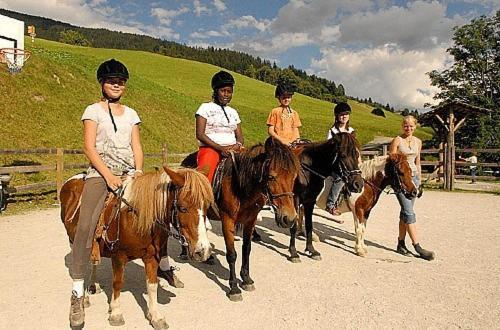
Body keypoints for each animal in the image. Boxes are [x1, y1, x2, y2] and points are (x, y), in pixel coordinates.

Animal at [59, 166, 214, 328]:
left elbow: (152, 284)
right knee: (82, 263)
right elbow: (117, 283)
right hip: (75, 239)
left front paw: (155, 316)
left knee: (94, 260)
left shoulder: (151, 257)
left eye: (206, 206)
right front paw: (116, 313)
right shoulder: (118, 256)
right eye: (182, 208)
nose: (203, 251)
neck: (135, 218)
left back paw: (94, 286)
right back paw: (83, 300)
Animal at [182, 137, 298, 302]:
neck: (240, 185)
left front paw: (246, 279)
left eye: (294, 176)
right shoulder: (227, 220)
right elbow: (232, 254)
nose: (289, 218)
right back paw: (184, 252)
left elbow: (246, 250)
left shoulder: (250, 220)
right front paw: (234, 287)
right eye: (271, 177)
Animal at [290, 133, 364, 262]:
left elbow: (309, 225)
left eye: (357, 154)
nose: (358, 184)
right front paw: (293, 253)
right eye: (343, 155)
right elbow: (294, 225)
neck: (307, 169)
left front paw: (311, 250)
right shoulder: (295, 198)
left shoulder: (310, 200)